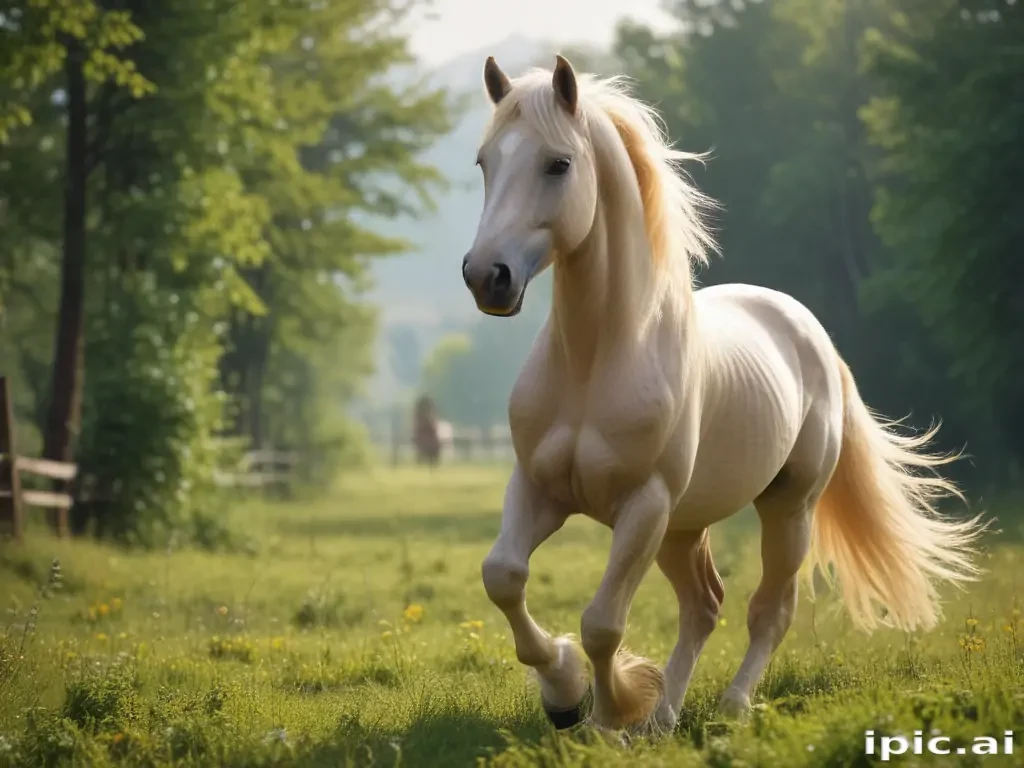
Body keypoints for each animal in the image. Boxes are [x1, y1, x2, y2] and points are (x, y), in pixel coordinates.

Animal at [460, 54, 986, 735]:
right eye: (485, 162)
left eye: (558, 163)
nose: (486, 277)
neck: (596, 361)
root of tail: (809, 332)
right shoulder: (539, 489)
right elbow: (503, 577)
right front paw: (565, 693)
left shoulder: (643, 505)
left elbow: (603, 624)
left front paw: (608, 717)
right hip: (684, 527)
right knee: (704, 606)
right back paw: (665, 717)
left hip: (785, 510)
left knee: (770, 609)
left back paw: (730, 709)